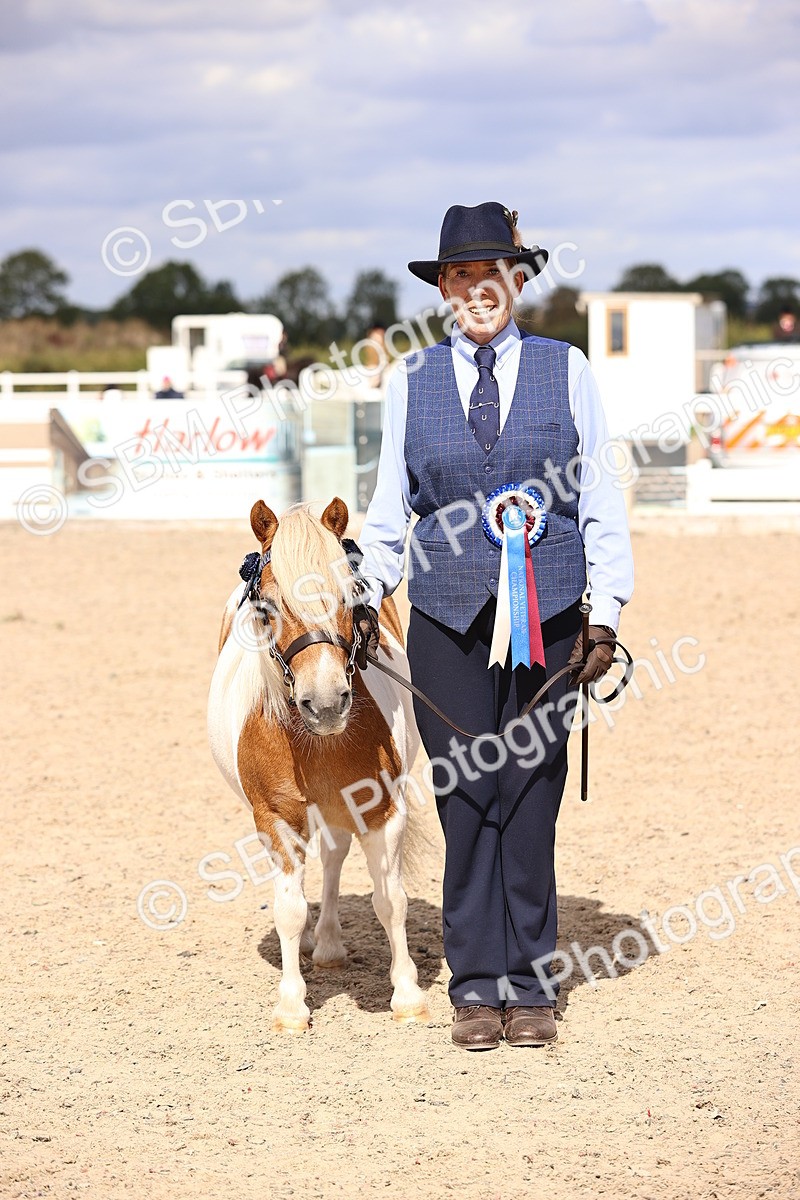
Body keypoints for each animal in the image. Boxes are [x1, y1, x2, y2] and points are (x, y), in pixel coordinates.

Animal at [207, 497, 429, 1033]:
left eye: (351, 593)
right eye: (267, 605)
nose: (326, 703)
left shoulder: (382, 812)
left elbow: (390, 900)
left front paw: (408, 996)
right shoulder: (277, 820)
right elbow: (288, 910)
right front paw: (291, 1007)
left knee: (332, 859)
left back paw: (327, 944)